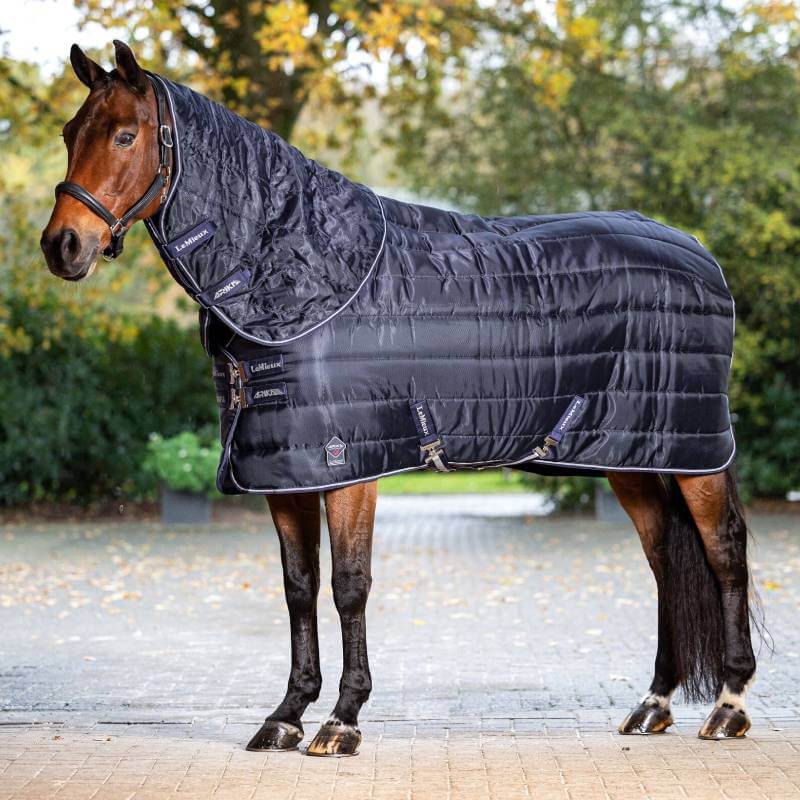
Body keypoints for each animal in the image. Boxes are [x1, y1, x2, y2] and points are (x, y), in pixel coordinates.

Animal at [41, 41, 757, 757]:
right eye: (71, 133)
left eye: (125, 135)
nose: (62, 246)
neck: (305, 274)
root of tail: (700, 256)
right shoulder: (285, 471)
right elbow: (298, 588)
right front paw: (286, 714)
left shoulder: (349, 465)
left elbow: (348, 586)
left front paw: (342, 719)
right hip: (631, 452)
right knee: (664, 558)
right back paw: (654, 701)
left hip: (695, 449)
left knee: (723, 552)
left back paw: (729, 705)